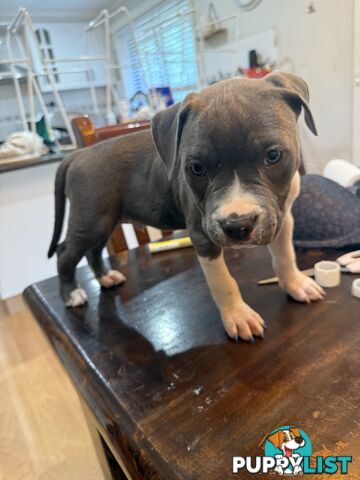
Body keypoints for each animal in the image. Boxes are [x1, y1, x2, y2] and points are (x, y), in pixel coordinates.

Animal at [47, 71, 326, 342]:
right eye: (197, 168)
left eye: (273, 156)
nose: (237, 225)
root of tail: (79, 154)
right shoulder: (203, 235)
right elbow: (222, 281)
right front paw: (238, 316)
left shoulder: (282, 216)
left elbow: (285, 256)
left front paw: (295, 284)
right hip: (91, 220)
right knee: (65, 253)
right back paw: (72, 294)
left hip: (105, 220)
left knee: (94, 251)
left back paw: (105, 277)